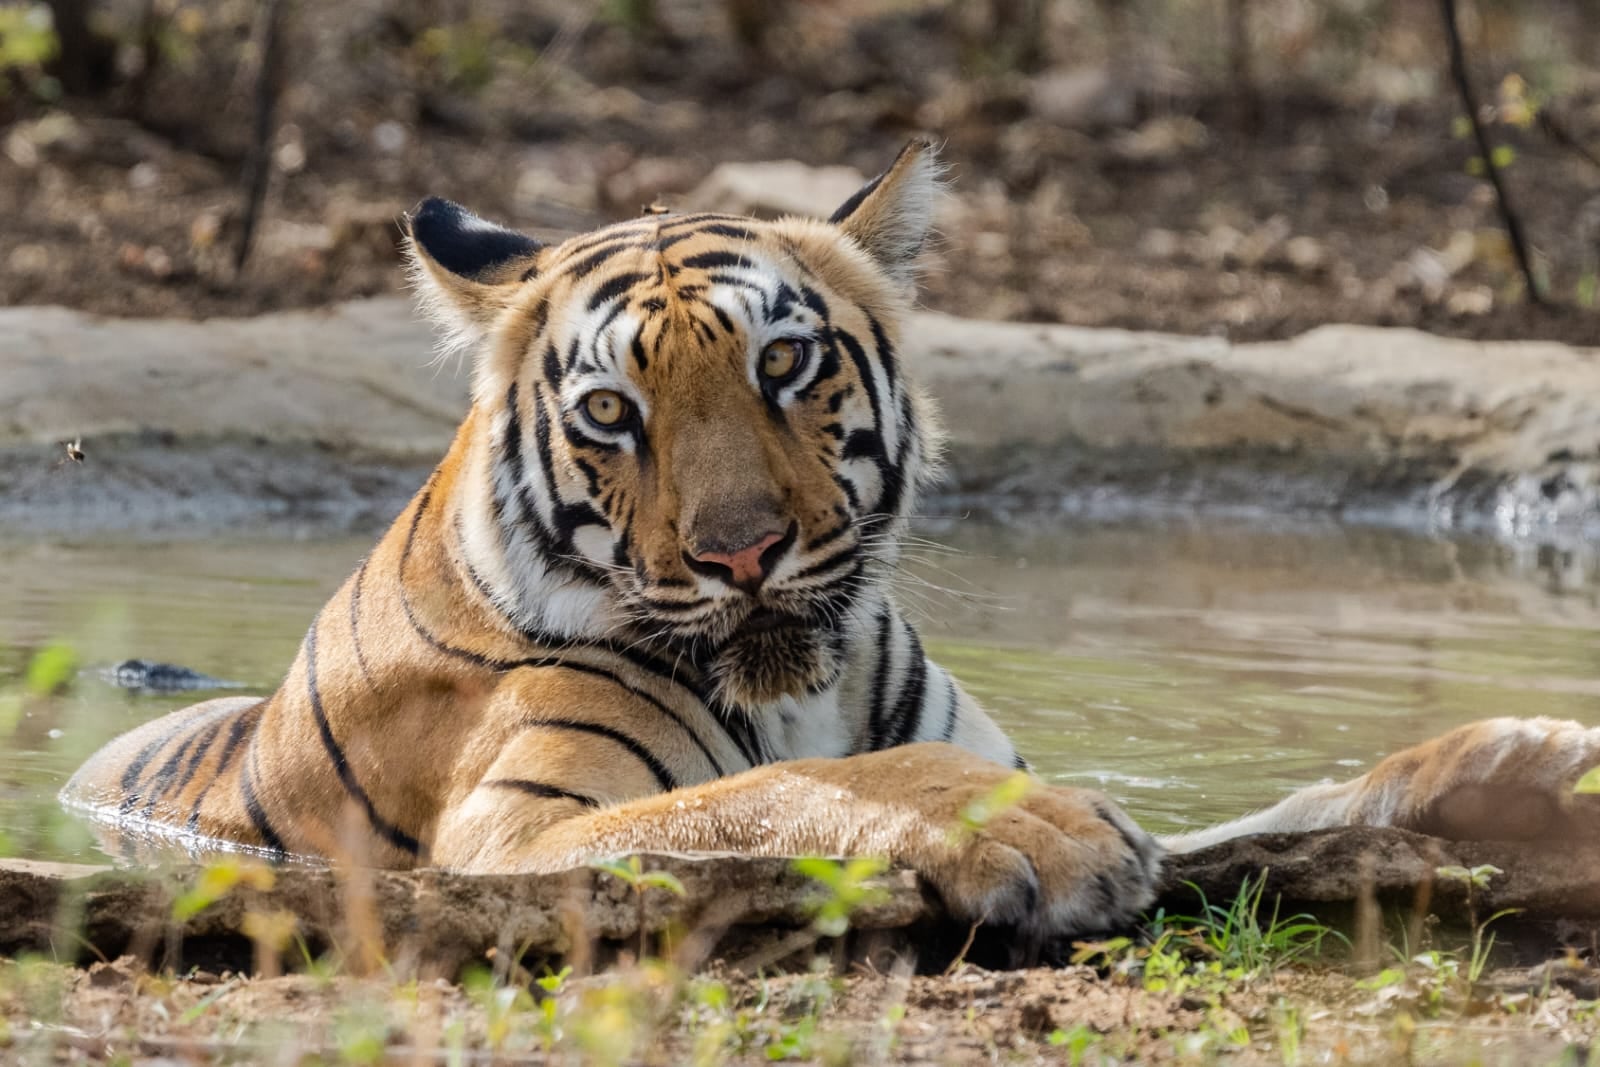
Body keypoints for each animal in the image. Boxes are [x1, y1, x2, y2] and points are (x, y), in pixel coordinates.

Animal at [63, 141, 1600, 941]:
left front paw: (1529, 754)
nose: (742, 551)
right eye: (612, 409)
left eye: (785, 363)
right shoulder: (514, 829)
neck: (797, 670)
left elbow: (1306, 801)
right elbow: (788, 783)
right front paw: (1030, 834)